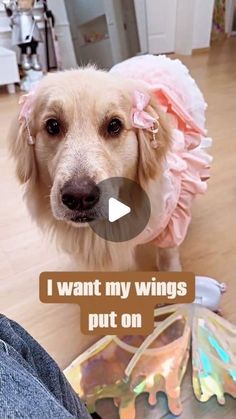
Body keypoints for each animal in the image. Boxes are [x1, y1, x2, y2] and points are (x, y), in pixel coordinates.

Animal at [9, 56, 210, 272]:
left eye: (114, 125)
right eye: (52, 125)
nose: (79, 197)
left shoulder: (170, 218)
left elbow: (167, 252)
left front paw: (170, 270)